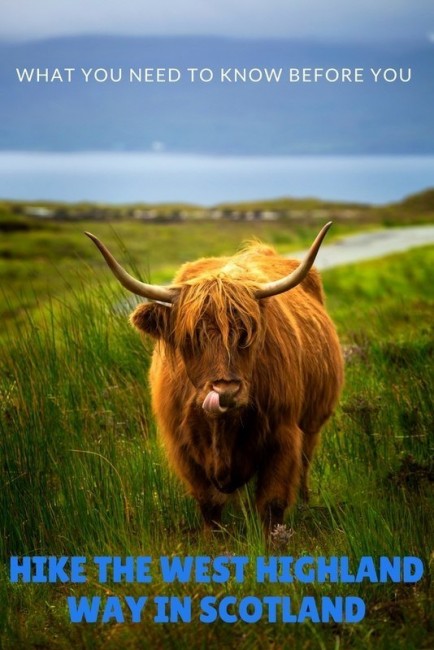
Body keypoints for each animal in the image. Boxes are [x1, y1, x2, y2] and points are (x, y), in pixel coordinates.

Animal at [87, 223, 346, 532]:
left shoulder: (282, 437)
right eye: (191, 338)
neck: (221, 428)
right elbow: (210, 507)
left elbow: (271, 506)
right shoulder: (184, 449)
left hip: (312, 425)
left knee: (305, 465)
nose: (226, 391)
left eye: (246, 334)